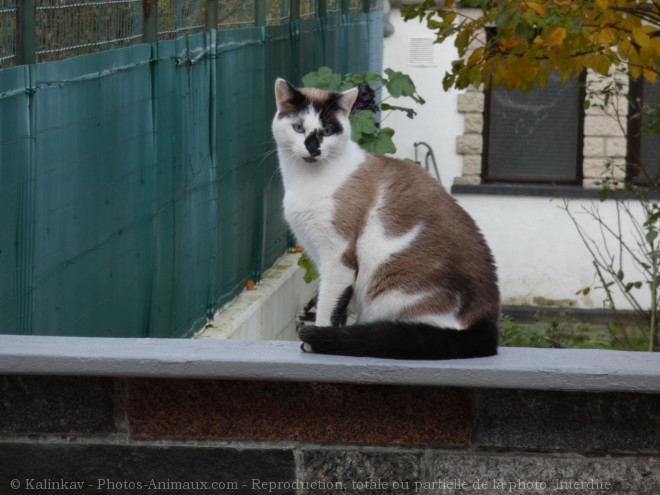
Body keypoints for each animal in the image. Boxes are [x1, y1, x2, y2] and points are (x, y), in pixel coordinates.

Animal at [270, 77, 498, 360]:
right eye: (299, 128)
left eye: (326, 131)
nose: (313, 148)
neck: (303, 179)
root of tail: (488, 323)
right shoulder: (325, 258)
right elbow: (340, 312)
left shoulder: (338, 258)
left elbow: (327, 310)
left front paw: (316, 342)